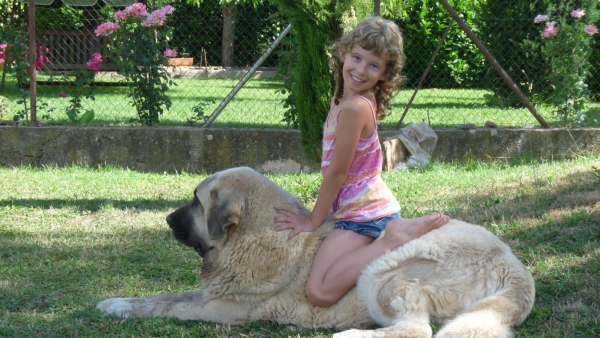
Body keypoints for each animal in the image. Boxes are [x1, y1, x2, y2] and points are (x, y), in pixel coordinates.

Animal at [97, 167, 536, 338]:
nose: (167, 220)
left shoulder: (226, 309)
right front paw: (115, 303)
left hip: (382, 274)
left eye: (195, 201)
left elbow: (169, 307)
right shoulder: (213, 292)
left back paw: (352, 333)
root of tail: (514, 267)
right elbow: (161, 296)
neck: (251, 236)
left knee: (415, 329)